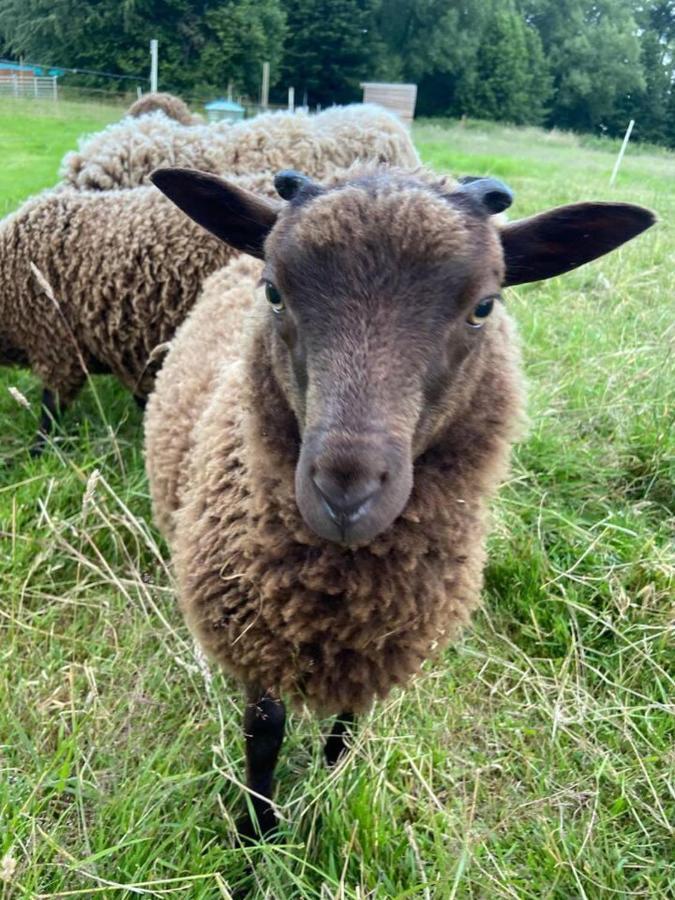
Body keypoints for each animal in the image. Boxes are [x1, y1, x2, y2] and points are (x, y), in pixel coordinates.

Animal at [144, 160, 656, 836]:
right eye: (274, 292)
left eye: (484, 307)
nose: (346, 495)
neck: (339, 594)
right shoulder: (256, 635)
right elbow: (264, 732)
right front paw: (258, 832)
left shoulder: (380, 643)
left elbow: (349, 723)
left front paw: (333, 780)